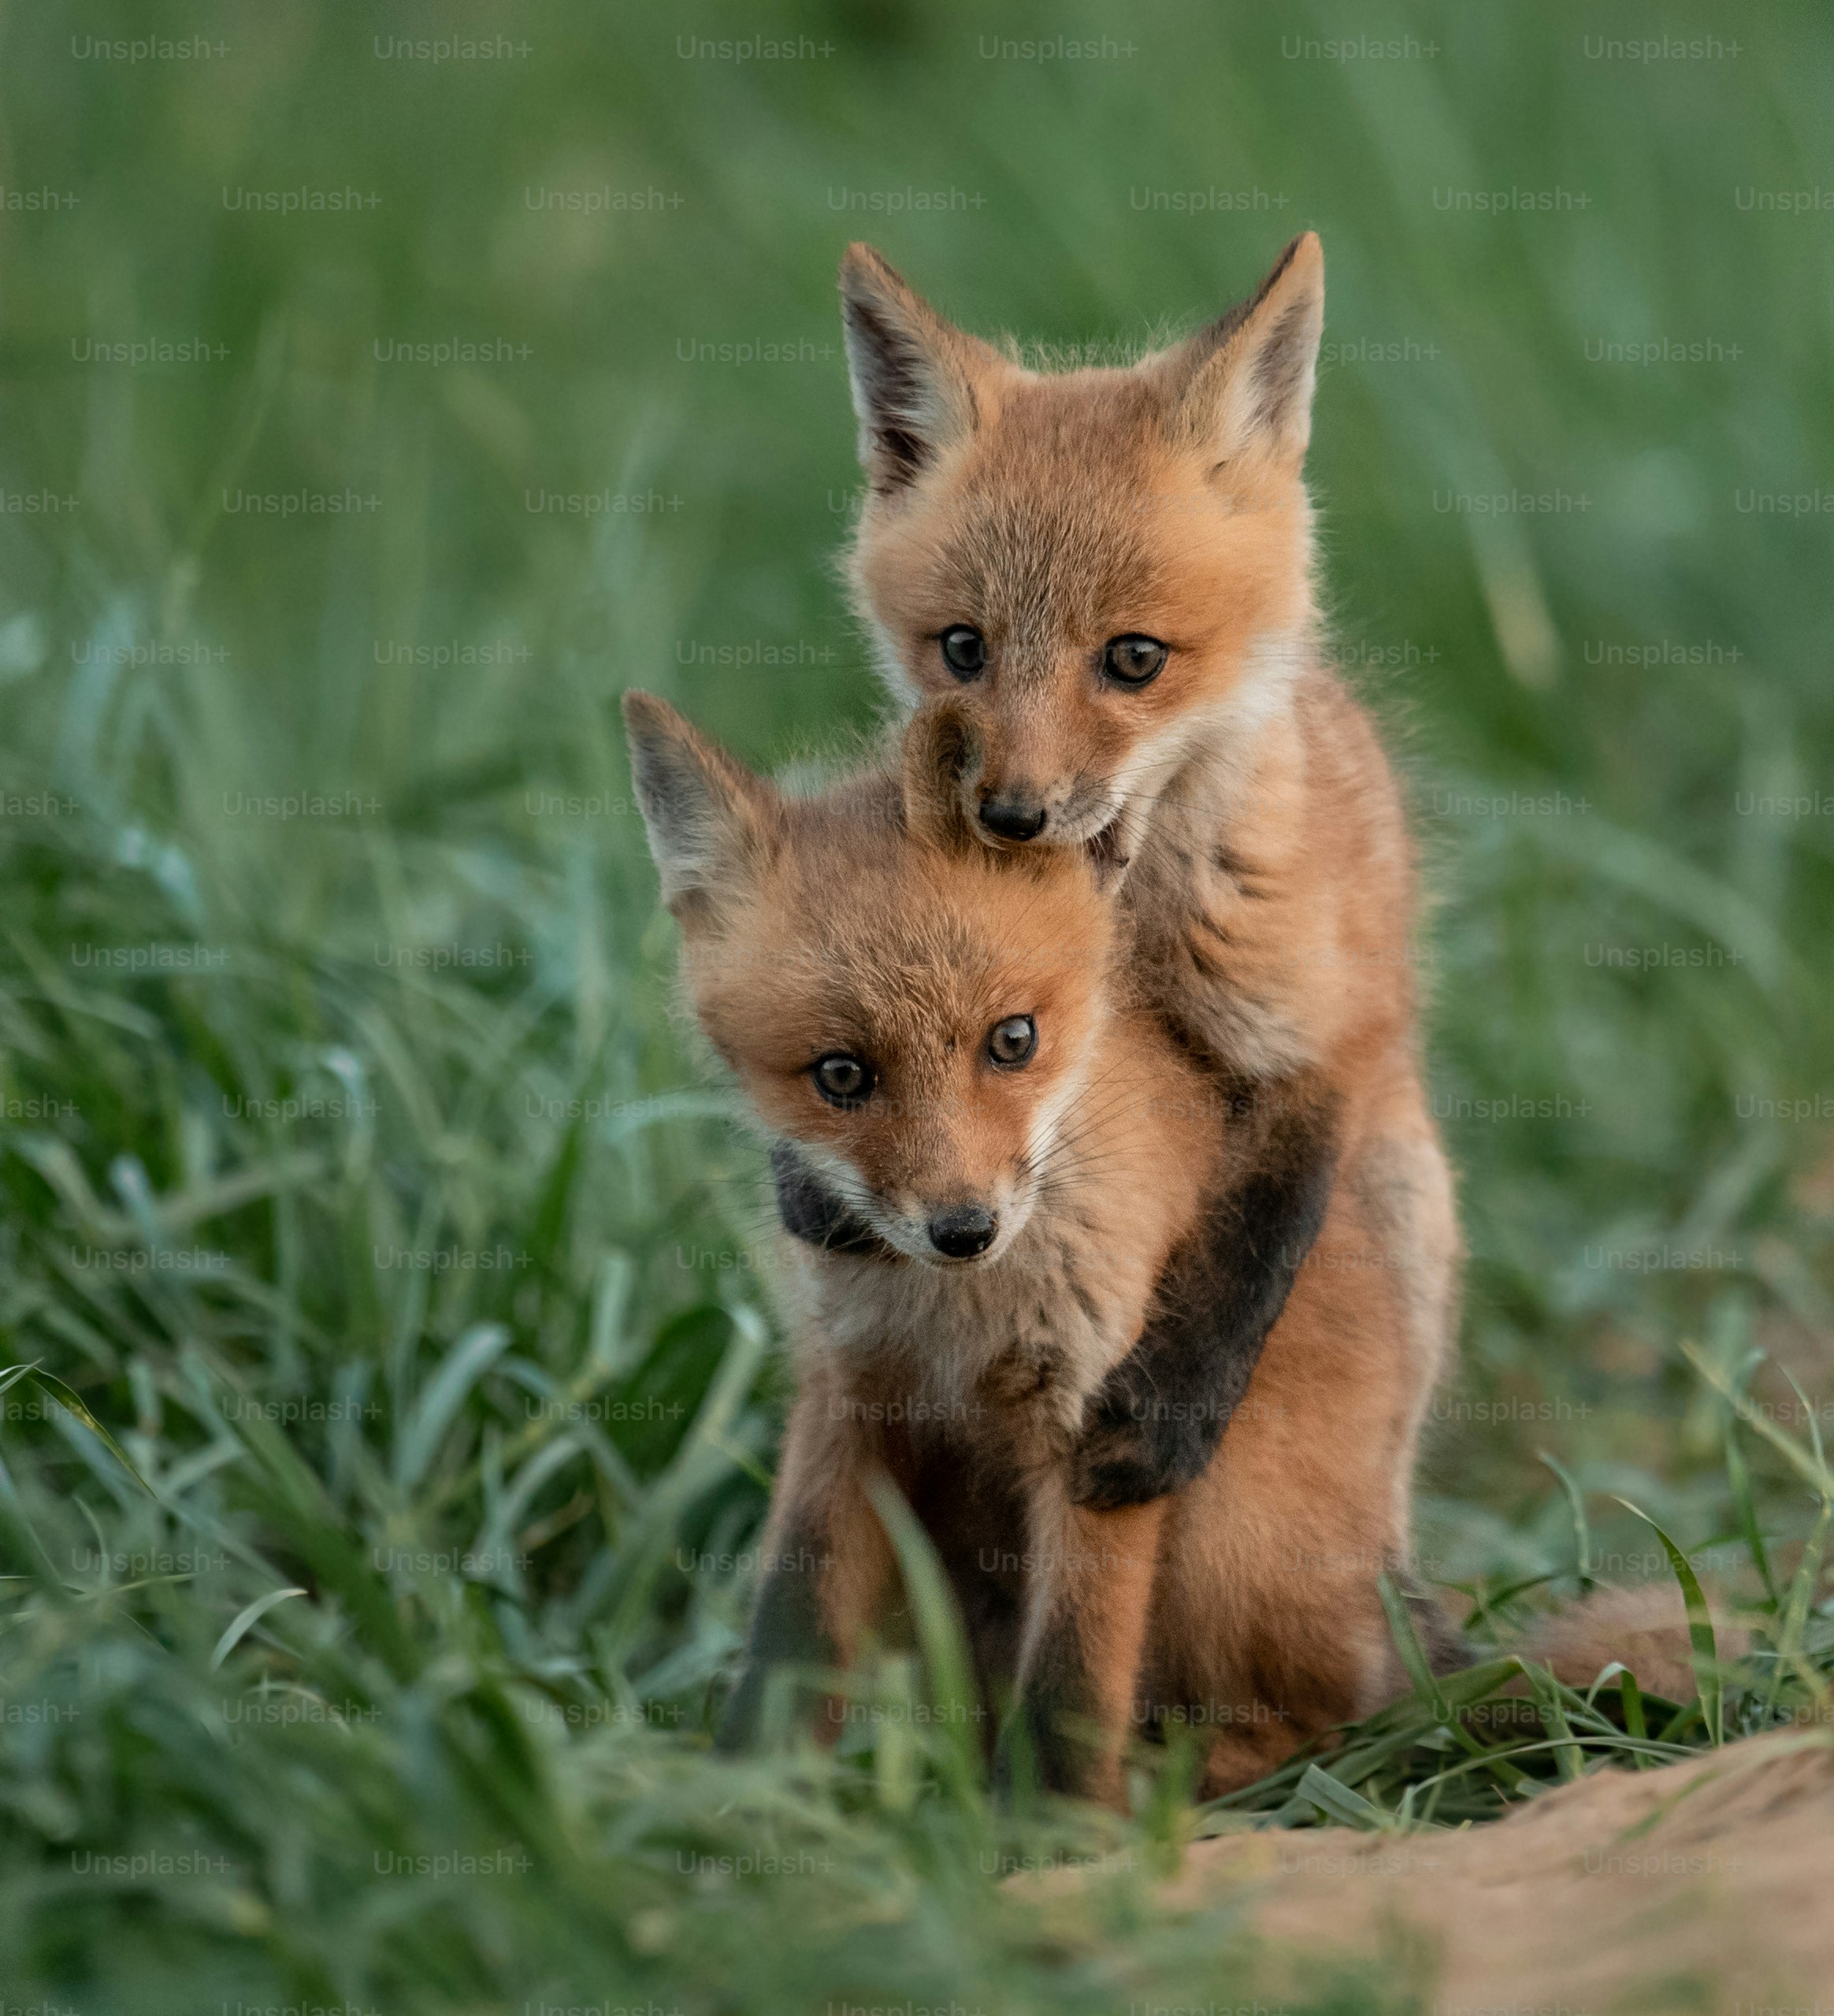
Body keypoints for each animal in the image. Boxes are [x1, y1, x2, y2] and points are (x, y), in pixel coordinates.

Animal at [624, 690, 1460, 1801]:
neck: (957, 1325)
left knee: (1328, 1723)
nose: (963, 1229)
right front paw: (742, 1805)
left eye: (1012, 1040)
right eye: (841, 1075)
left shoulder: (1090, 1429)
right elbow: (788, 1641)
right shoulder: (850, 1401)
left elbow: (1070, 1686)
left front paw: (1049, 1834)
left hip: (1223, 1540)